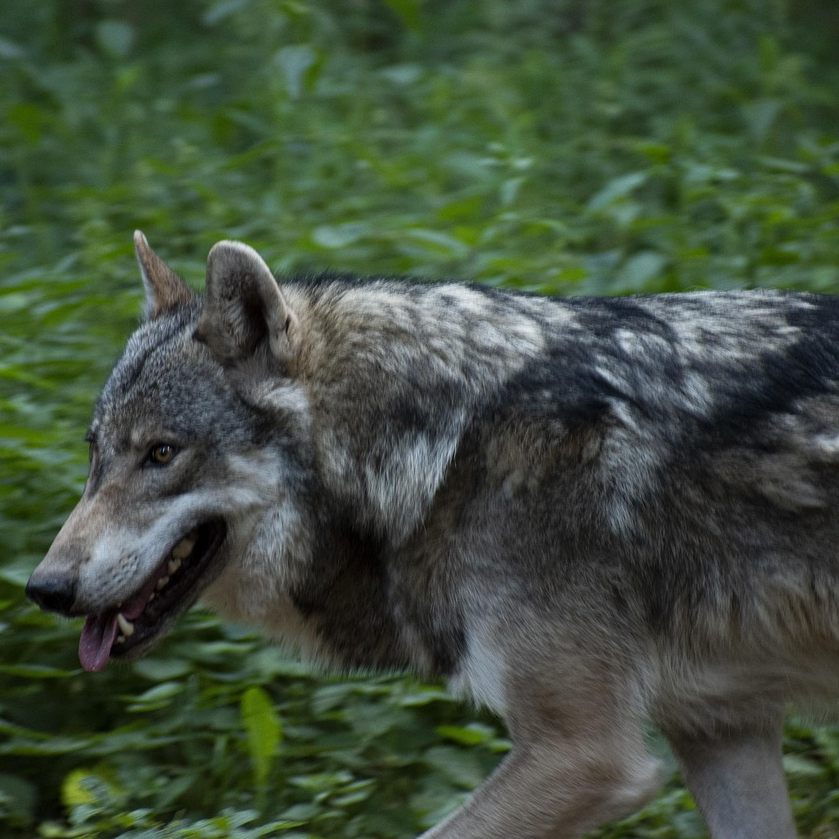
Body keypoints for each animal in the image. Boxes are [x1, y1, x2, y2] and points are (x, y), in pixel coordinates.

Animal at [26, 231, 839, 837]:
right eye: (95, 453)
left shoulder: (585, 754)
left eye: (162, 453)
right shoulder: (723, 730)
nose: (43, 588)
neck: (443, 456)